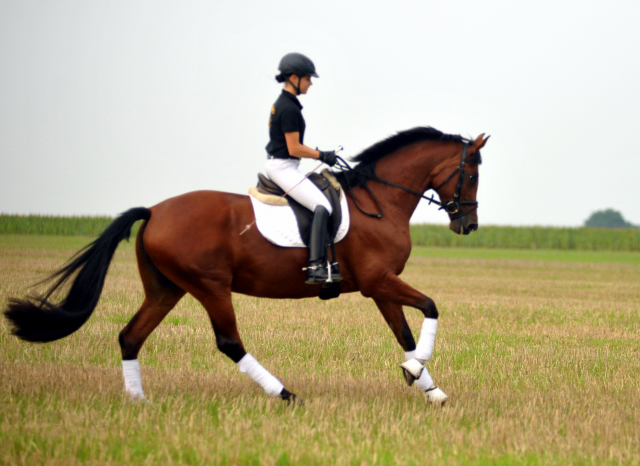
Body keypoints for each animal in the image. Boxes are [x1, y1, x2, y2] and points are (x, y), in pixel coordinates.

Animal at [5, 126, 488, 404]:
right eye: (472, 174)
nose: (469, 224)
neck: (380, 203)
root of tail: (155, 211)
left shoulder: (378, 285)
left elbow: (404, 333)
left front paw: (429, 388)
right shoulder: (377, 280)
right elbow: (431, 307)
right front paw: (417, 373)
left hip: (166, 288)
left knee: (130, 336)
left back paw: (138, 402)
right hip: (210, 287)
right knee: (229, 342)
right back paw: (286, 394)